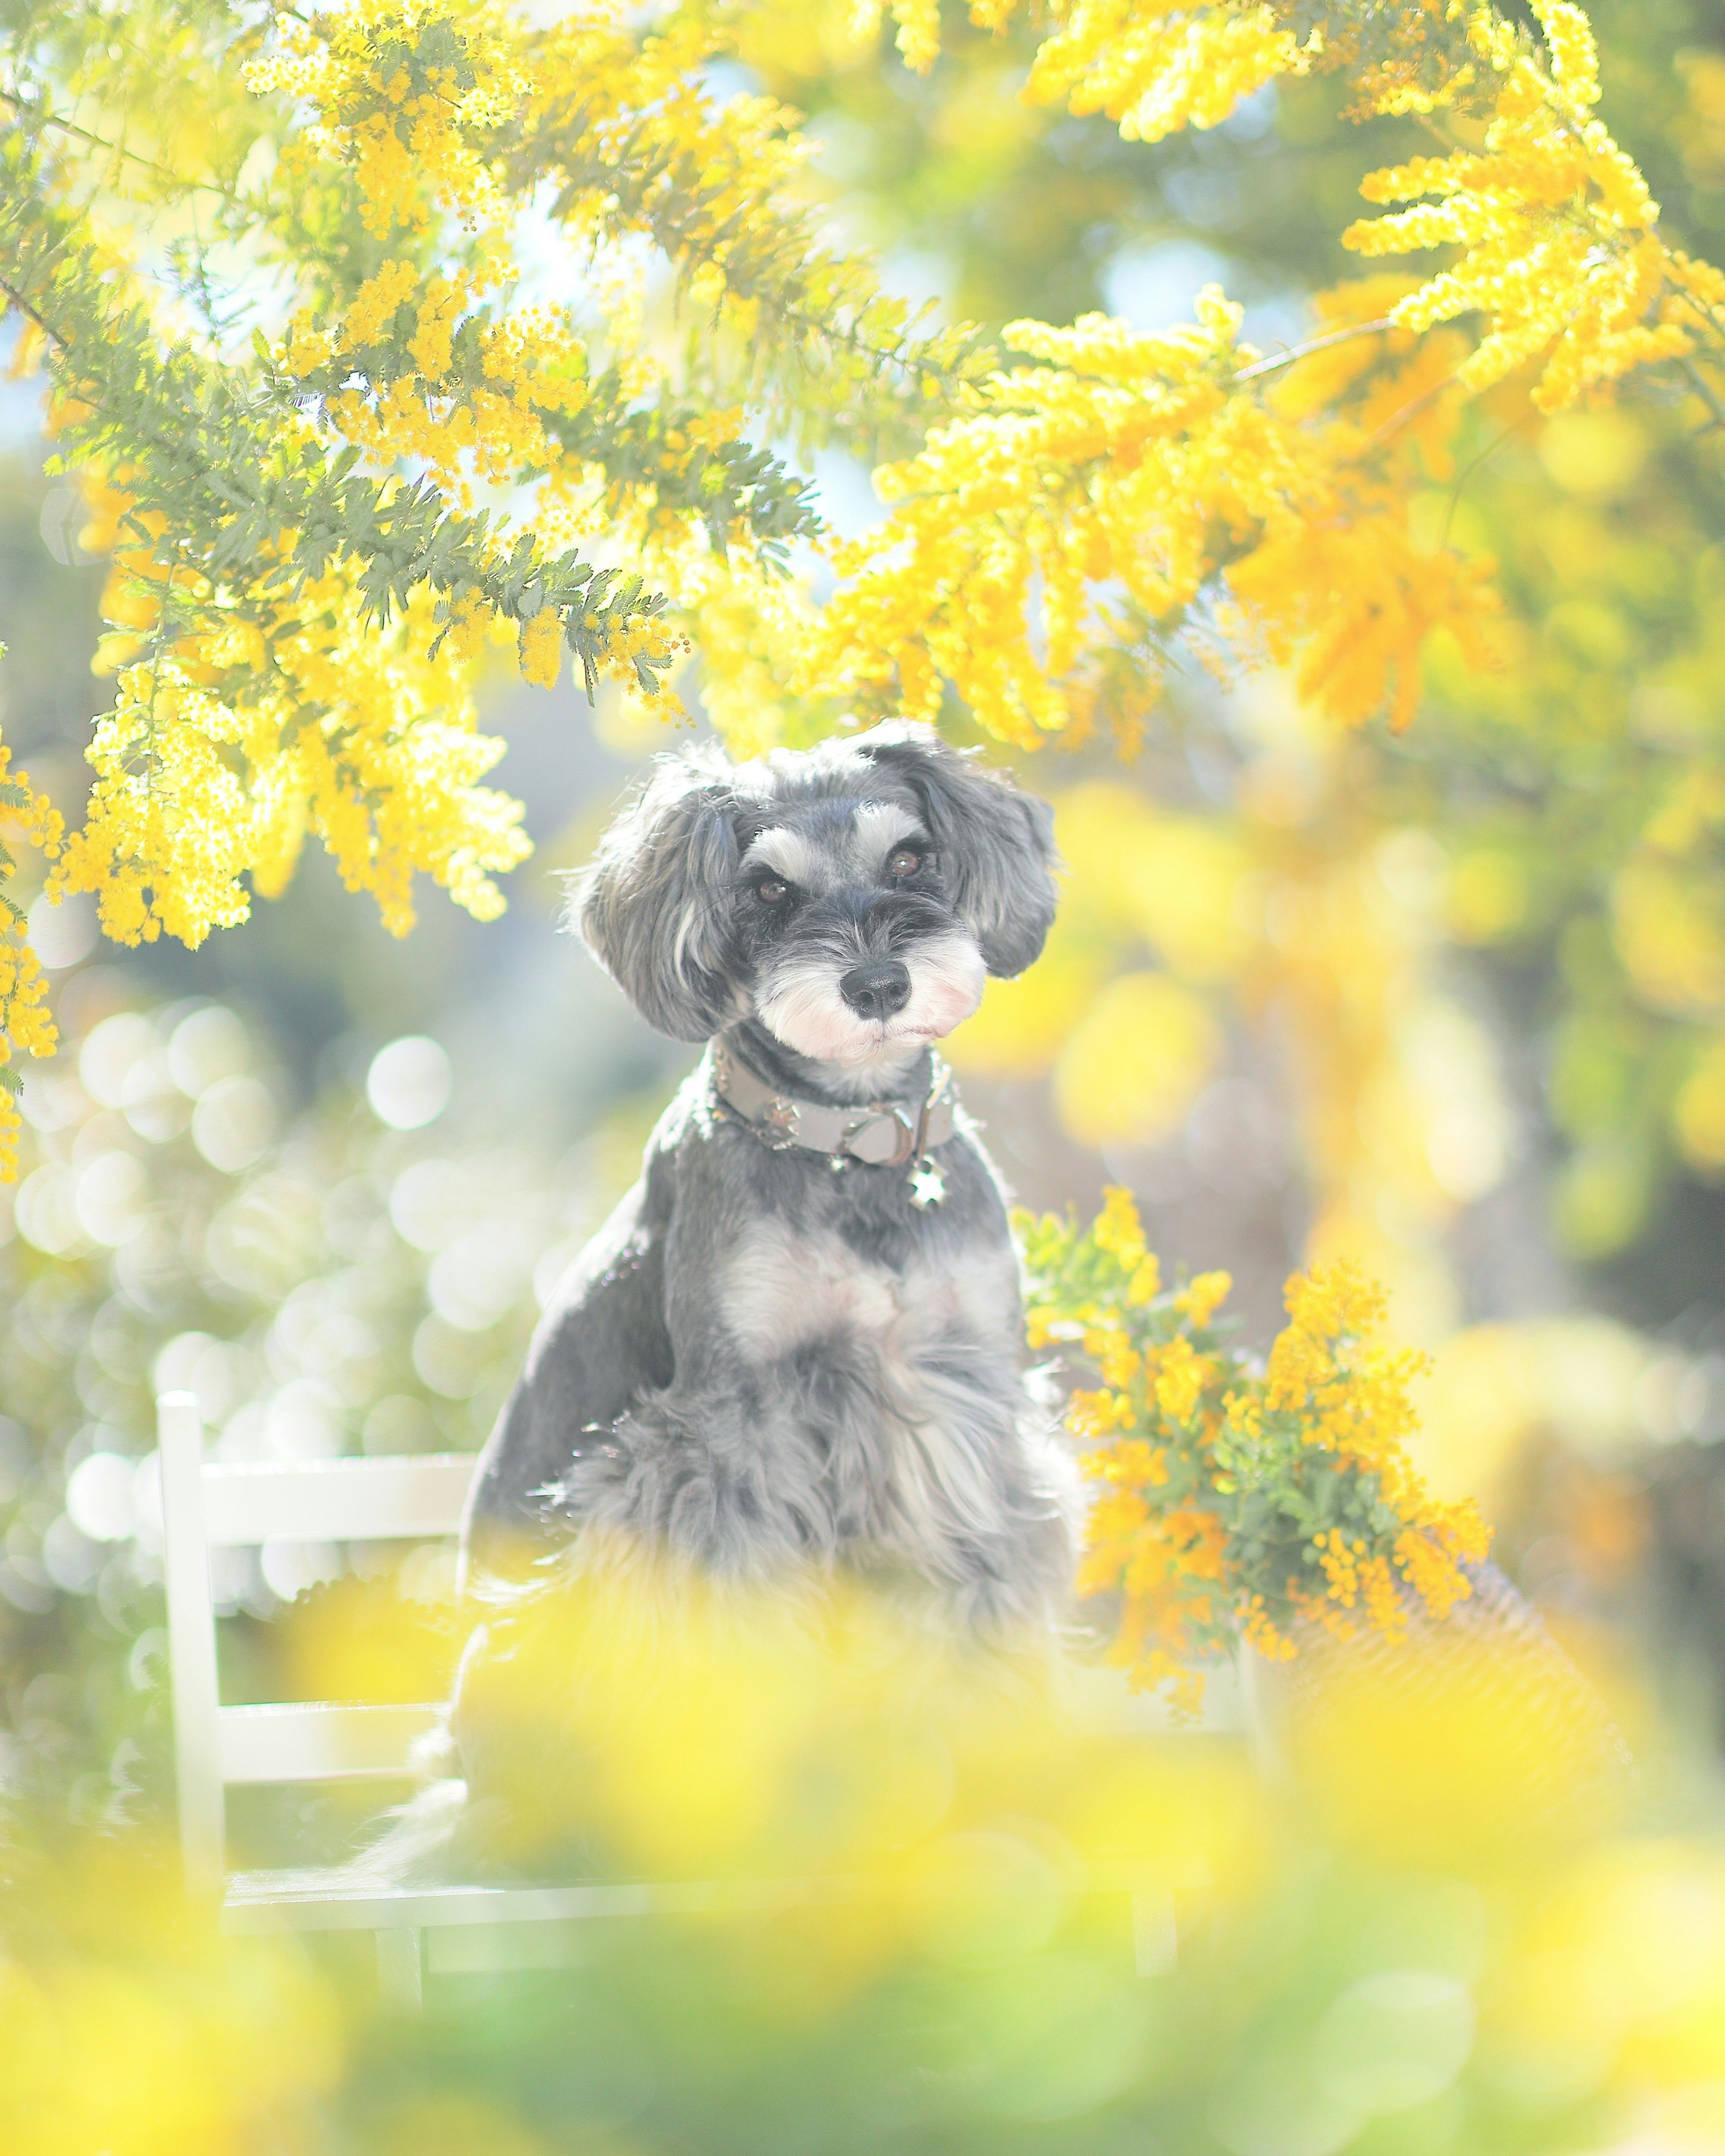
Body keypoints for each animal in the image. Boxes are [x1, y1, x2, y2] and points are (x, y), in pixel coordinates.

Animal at [457, 716, 1078, 1639]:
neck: (852, 1140)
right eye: (770, 890)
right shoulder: (728, 1426)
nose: (878, 985)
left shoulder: (965, 1388)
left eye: (909, 859)